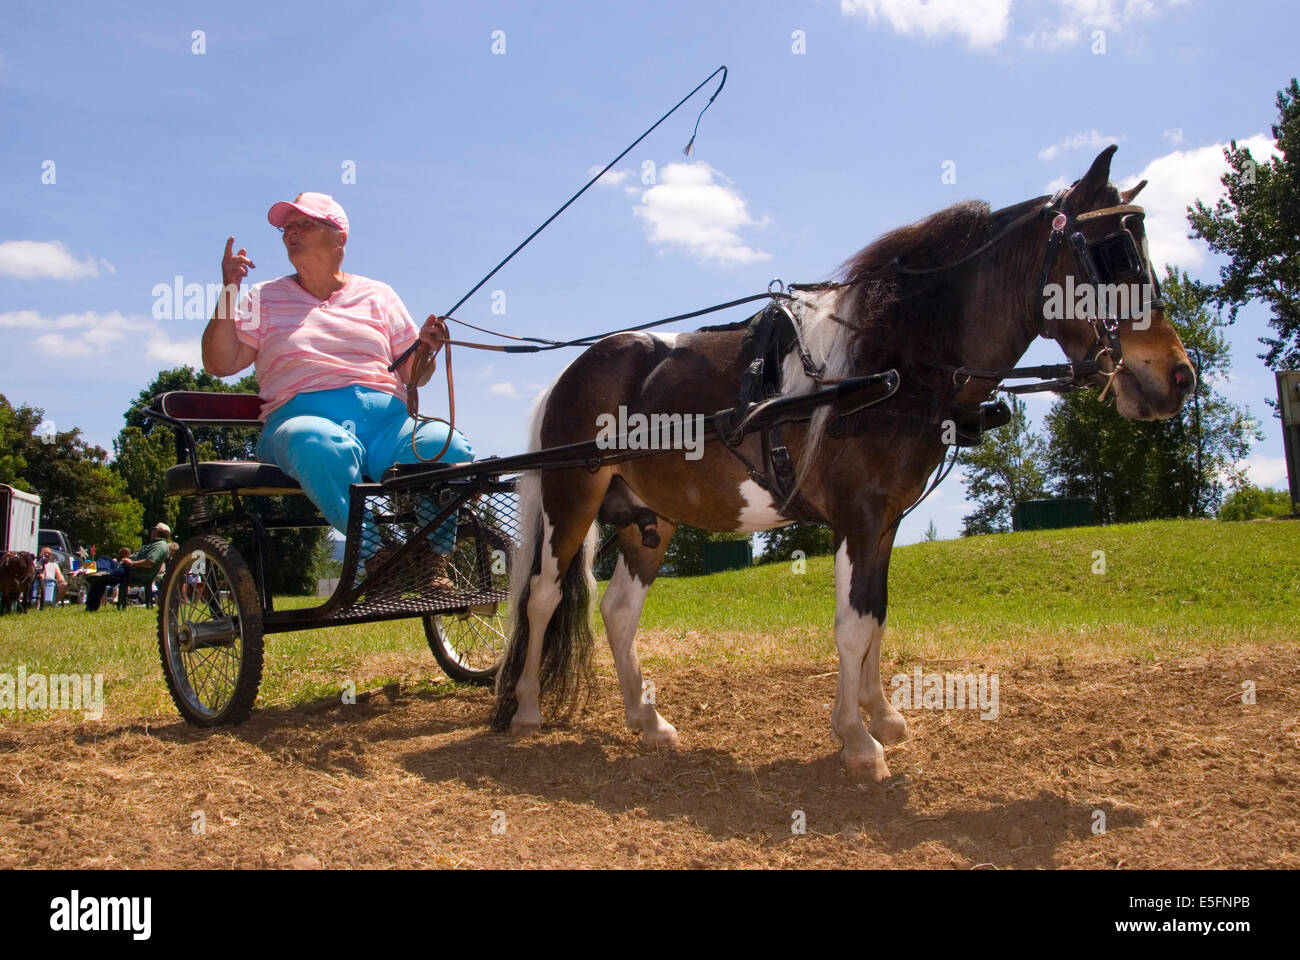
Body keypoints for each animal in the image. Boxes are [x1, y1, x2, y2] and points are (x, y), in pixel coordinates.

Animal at [489, 145, 1195, 781]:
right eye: (1114, 253)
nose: (1179, 377)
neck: (889, 362)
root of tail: (571, 372)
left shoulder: (885, 521)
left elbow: (876, 616)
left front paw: (880, 716)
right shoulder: (857, 515)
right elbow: (852, 626)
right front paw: (857, 740)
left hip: (648, 517)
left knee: (618, 611)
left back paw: (646, 718)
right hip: (570, 500)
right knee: (542, 596)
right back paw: (525, 710)